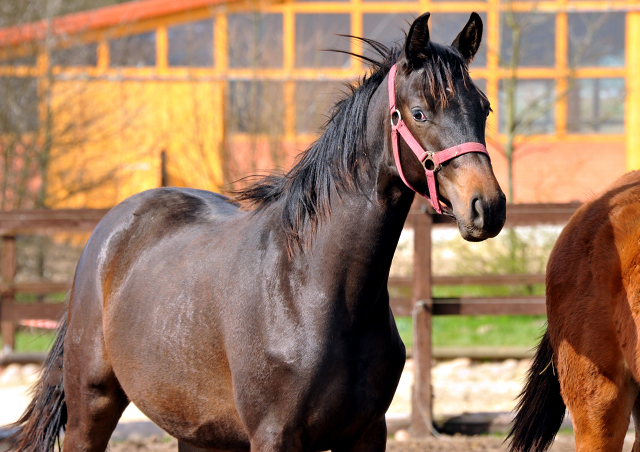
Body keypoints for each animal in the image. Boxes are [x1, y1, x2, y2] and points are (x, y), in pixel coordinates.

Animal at [5, 12, 504, 450]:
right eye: (419, 113)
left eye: (484, 108)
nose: (488, 207)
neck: (314, 288)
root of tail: (108, 233)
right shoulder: (274, 435)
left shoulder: (366, 434)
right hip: (91, 408)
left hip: (198, 433)